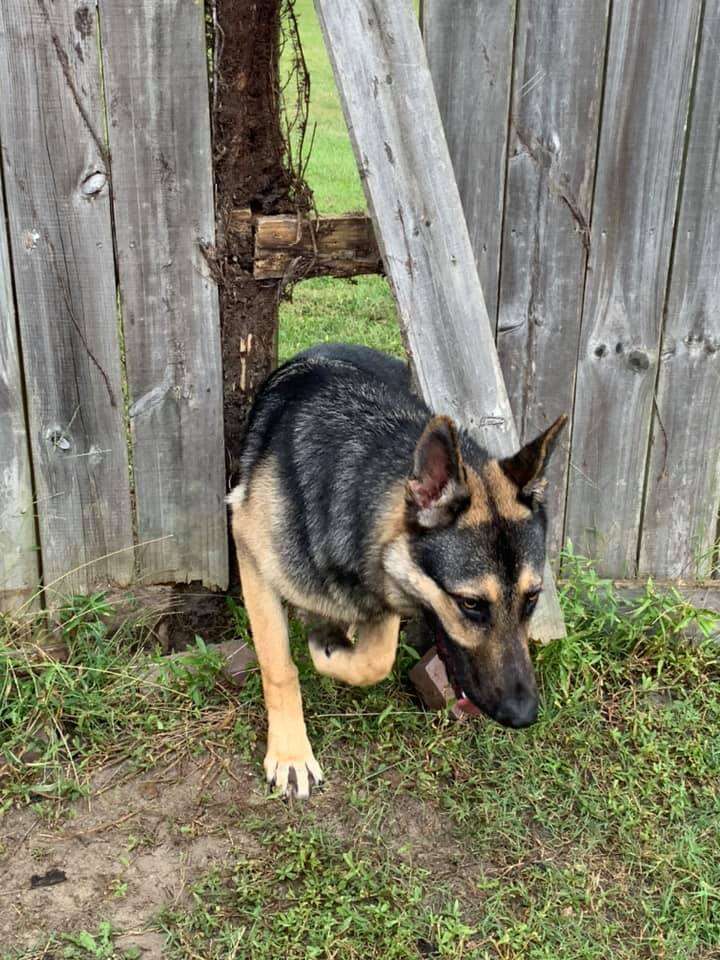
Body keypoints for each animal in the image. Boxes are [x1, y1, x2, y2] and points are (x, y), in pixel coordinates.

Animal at [228, 342, 564, 800]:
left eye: (532, 598)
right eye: (471, 604)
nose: (524, 715)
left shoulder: (383, 584)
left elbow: (376, 660)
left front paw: (332, 649)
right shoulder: (250, 552)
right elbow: (280, 668)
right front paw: (291, 754)